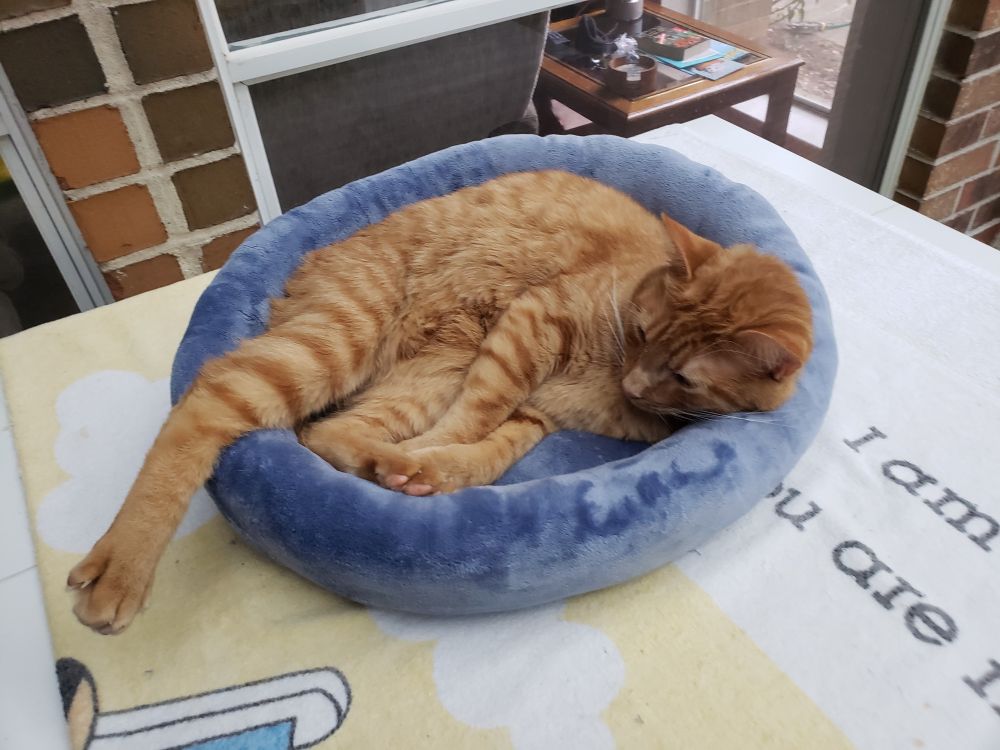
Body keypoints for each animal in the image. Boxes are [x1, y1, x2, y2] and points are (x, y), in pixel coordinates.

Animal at [68, 170, 813, 635]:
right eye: (641, 332)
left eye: (683, 379)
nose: (633, 385)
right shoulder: (530, 327)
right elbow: (475, 416)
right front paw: (425, 461)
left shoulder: (537, 415)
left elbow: (486, 453)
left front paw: (429, 472)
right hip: (337, 341)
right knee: (205, 406)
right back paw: (119, 569)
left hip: (428, 370)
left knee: (325, 434)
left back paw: (384, 464)